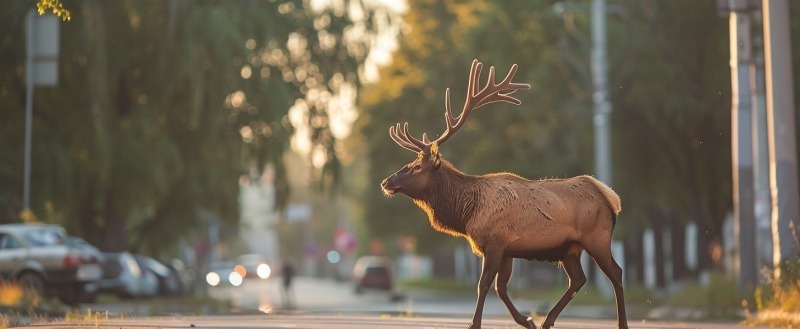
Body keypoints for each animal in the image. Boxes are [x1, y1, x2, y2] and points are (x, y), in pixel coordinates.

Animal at [378, 59, 628, 328]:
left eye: (416, 167)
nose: (386, 181)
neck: (466, 213)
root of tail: (610, 198)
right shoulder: (507, 249)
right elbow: (501, 288)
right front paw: (527, 320)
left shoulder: (495, 243)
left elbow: (484, 285)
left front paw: (474, 323)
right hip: (570, 247)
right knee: (578, 279)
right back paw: (547, 320)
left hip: (597, 237)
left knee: (616, 272)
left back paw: (620, 322)